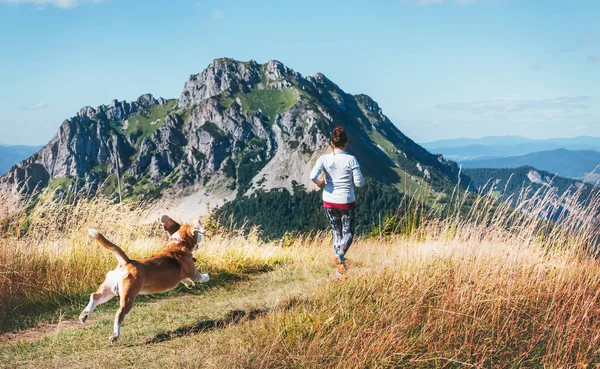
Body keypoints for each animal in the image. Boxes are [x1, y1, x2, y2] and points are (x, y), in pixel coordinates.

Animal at [79, 213, 210, 342]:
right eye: (197, 233)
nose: (201, 237)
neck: (178, 242)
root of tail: (127, 262)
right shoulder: (193, 271)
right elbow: (200, 277)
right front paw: (206, 276)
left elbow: (185, 279)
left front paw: (189, 284)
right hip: (129, 296)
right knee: (119, 313)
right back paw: (115, 335)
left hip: (109, 289)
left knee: (95, 296)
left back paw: (84, 315)